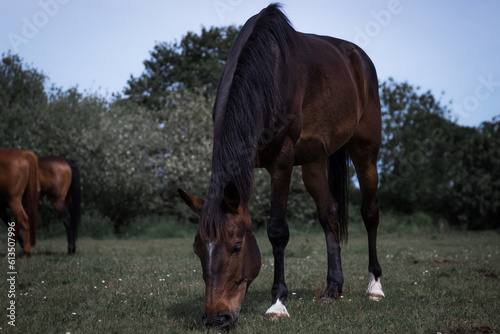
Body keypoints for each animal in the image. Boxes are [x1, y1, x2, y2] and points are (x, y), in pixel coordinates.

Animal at [178, 3, 384, 330]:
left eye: (237, 246)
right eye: (198, 249)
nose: (215, 318)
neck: (267, 73)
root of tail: (359, 58)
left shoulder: (282, 162)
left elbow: (277, 231)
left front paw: (277, 303)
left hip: (365, 150)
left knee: (370, 213)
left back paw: (375, 286)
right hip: (313, 162)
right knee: (330, 215)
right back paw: (333, 287)